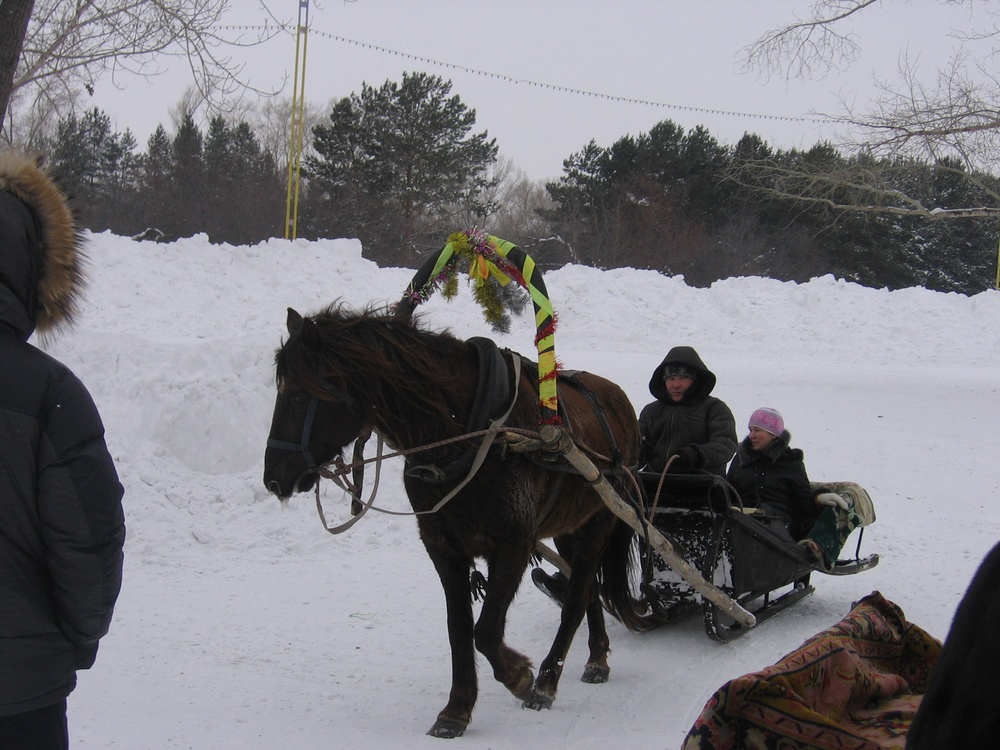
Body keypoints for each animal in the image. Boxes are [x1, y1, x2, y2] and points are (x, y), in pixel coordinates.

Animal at [262, 306, 644, 740]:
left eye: (296, 396)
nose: (273, 477)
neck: (469, 431)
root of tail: (619, 402)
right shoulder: (442, 546)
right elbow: (459, 629)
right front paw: (457, 709)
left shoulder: (513, 543)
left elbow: (486, 630)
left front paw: (519, 675)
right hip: (568, 528)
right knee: (590, 590)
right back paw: (596, 655)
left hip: (600, 520)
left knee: (578, 595)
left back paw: (548, 681)